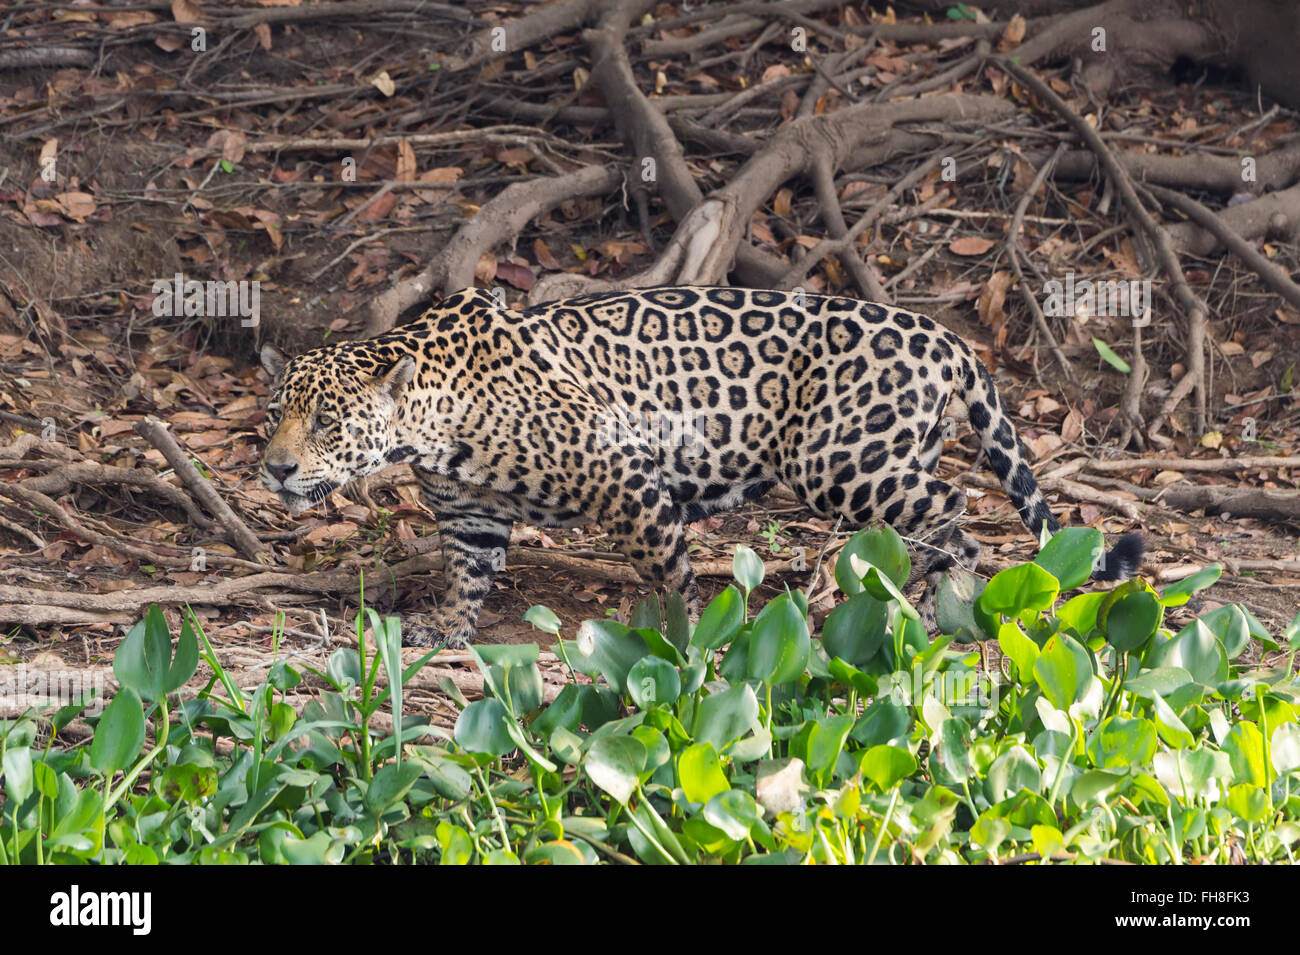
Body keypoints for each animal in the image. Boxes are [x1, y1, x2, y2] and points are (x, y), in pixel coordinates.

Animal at [259, 285, 1143, 647]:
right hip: (885, 458)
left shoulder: (623, 470)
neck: (433, 418)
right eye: (275, 416)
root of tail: (949, 338)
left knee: (957, 508)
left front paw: (688, 635)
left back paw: (939, 608)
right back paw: (909, 599)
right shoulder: (470, 512)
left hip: (842, 461)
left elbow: (667, 568)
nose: (273, 469)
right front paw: (446, 625)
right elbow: (467, 571)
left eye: (328, 421)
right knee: (930, 516)